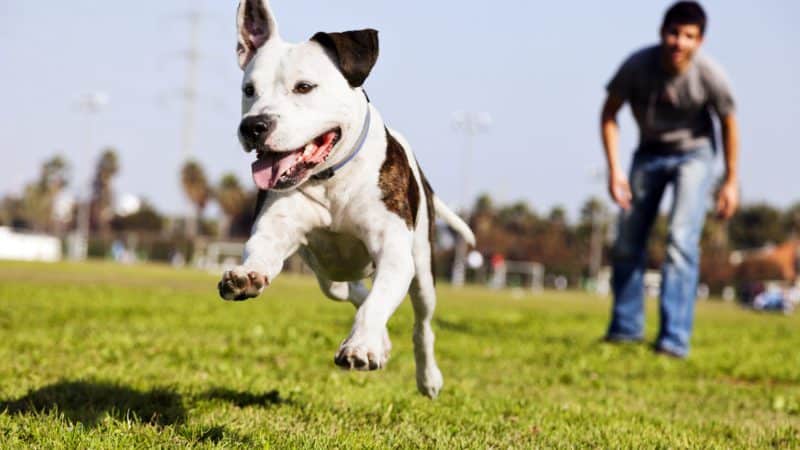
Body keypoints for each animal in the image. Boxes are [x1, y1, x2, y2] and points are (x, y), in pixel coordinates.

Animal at [216, 0, 476, 400]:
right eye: (249, 89)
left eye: (304, 87)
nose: (254, 126)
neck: (331, 179)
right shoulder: (275, 230)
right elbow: (261, 251)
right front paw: (246, 276)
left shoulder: (394, 253)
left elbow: (378, 302)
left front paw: (361, 347)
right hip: (329, 278)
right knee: (352, 291)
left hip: (423, 270)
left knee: (421, 324)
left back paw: (427, 376)